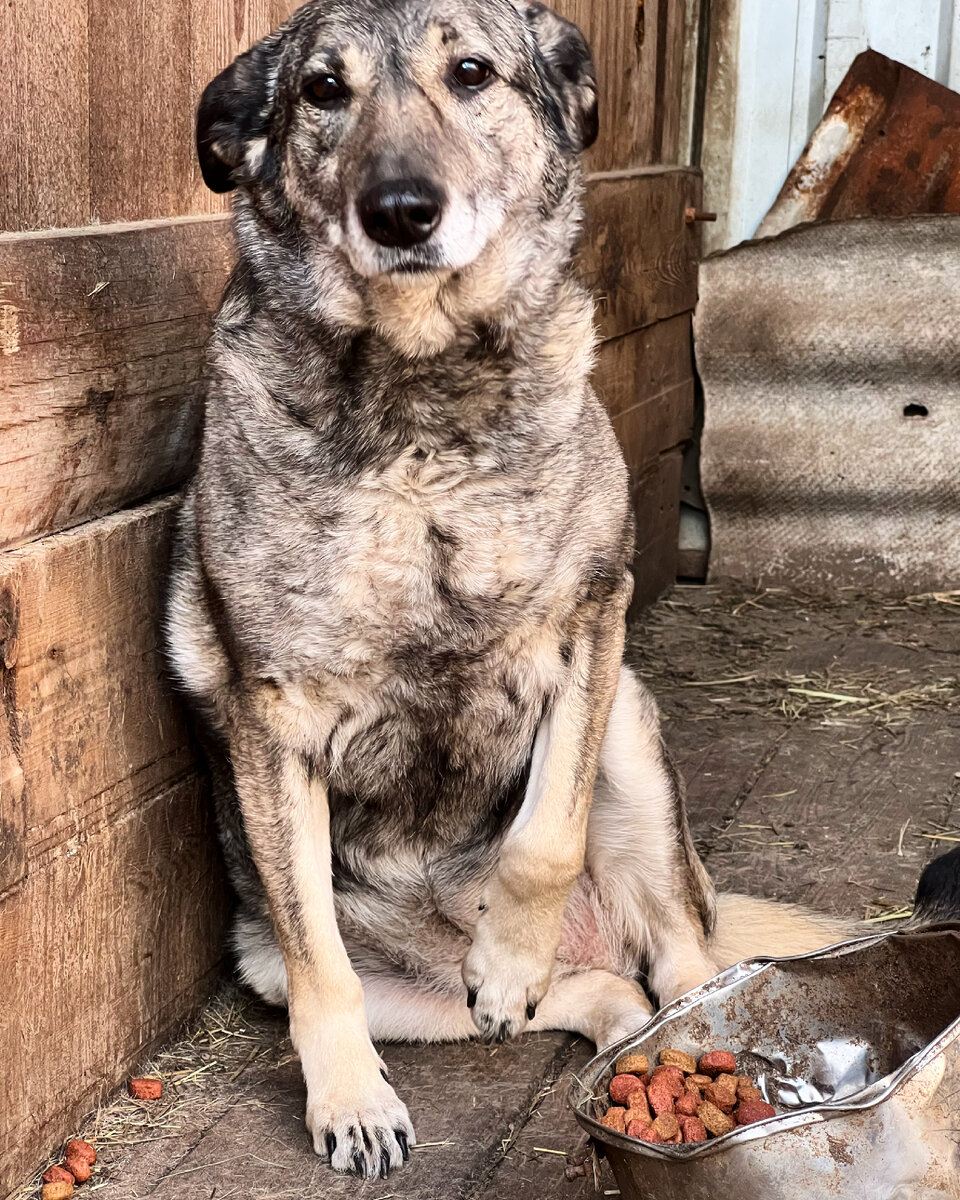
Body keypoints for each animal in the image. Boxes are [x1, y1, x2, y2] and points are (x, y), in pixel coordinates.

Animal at [165, 0, 960, 1180]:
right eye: (321, 91)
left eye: (471, 73)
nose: (399, 212)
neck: (423, 413)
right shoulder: (274, 723)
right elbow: (323, 968)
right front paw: (350, 1099)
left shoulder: (592, 630)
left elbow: (546, 836)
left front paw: (511, 948)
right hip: (375, 981)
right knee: (595, 991)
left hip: (630, 726)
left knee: (680, 958)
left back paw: (690, 1043)